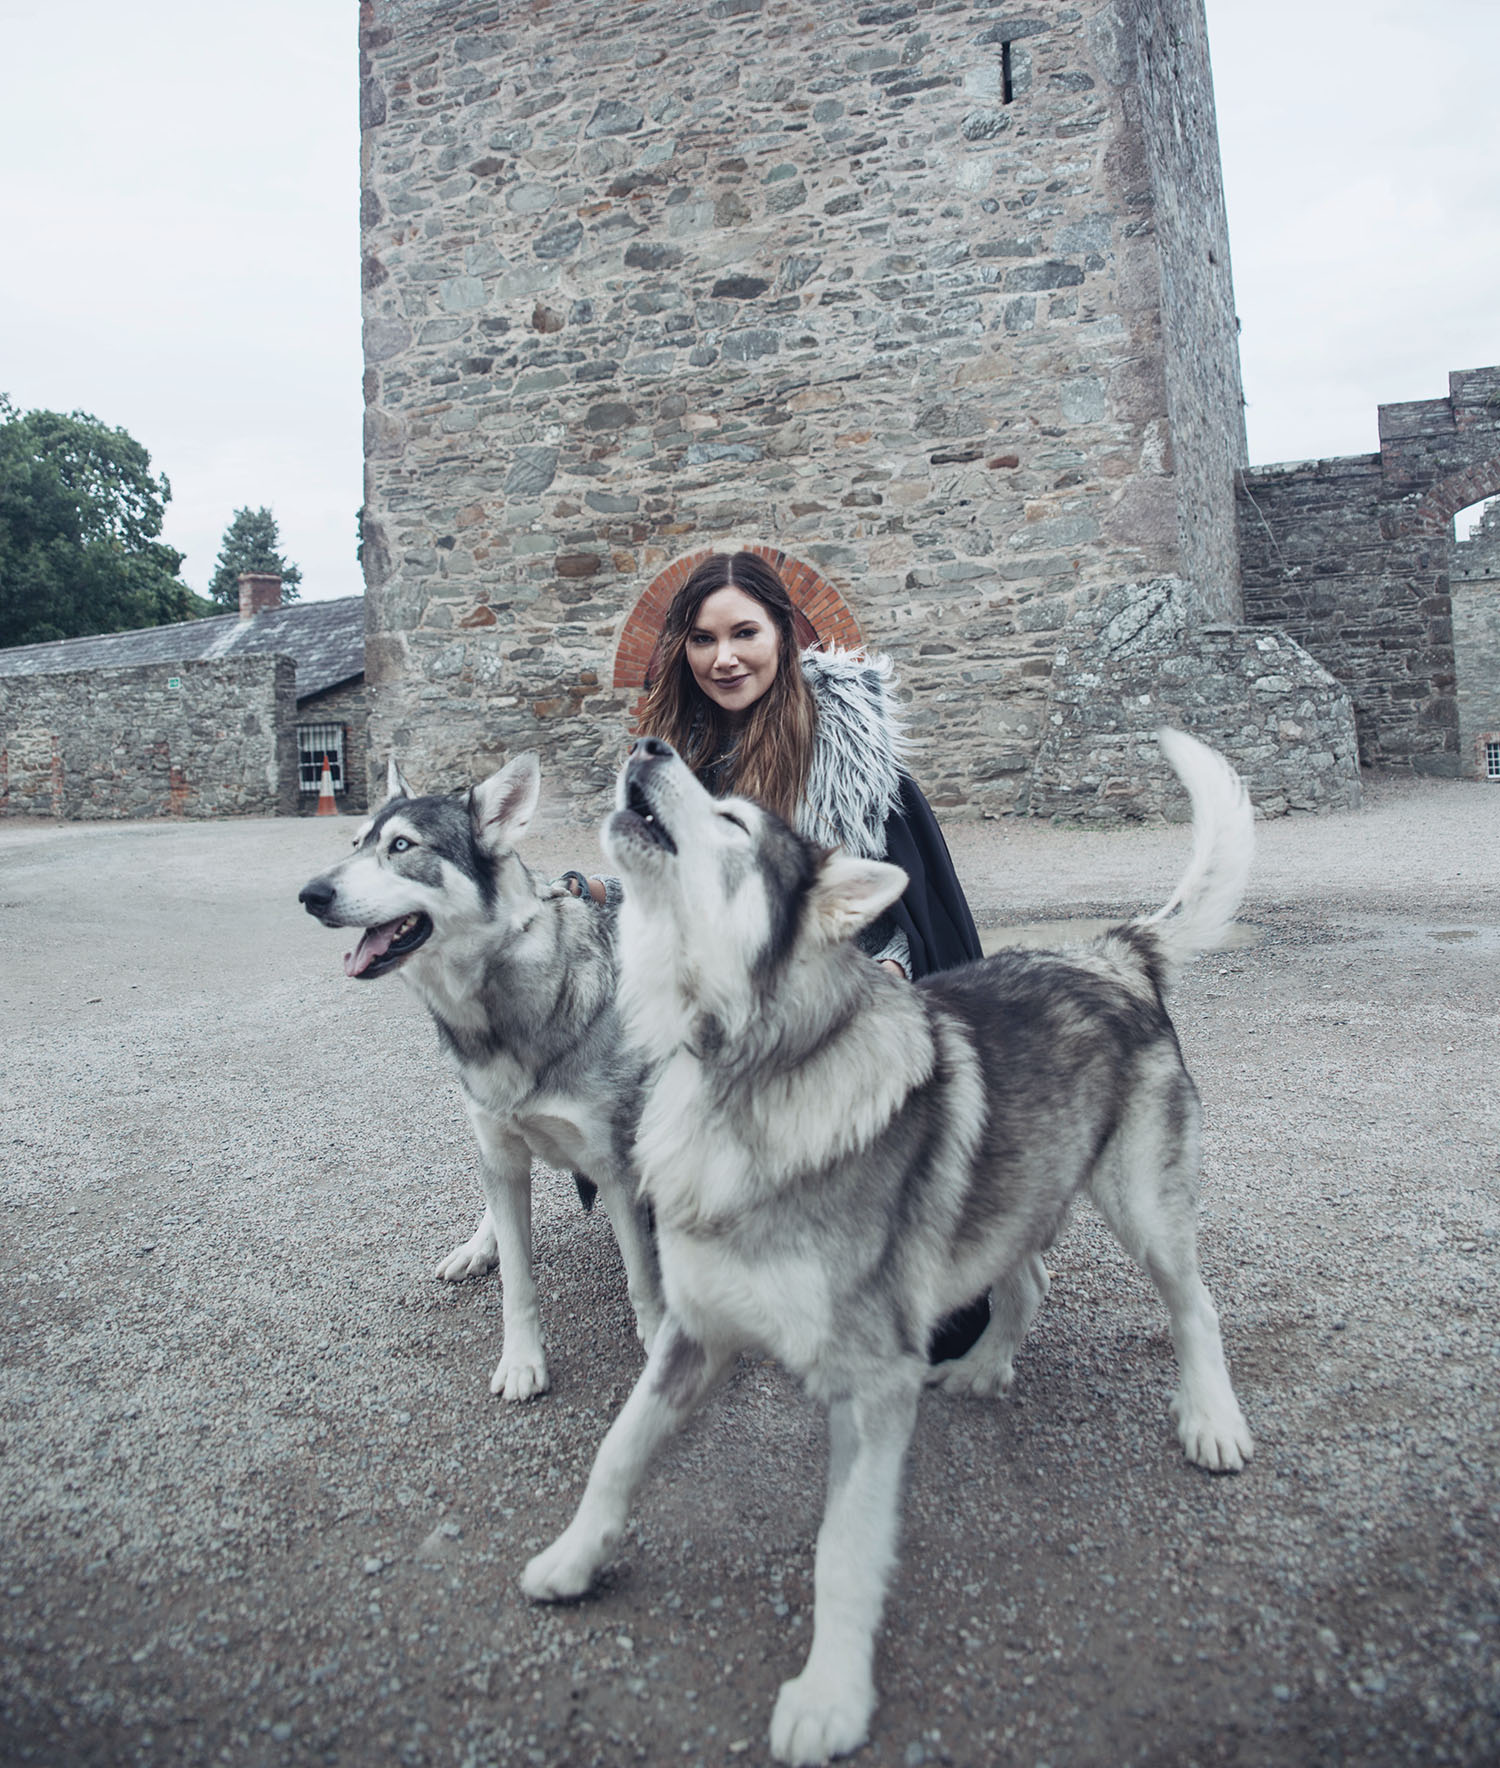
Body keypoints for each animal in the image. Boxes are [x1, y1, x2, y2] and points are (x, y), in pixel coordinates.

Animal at [295, 753, 658, 1400]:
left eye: (402, 846)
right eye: (357, 843)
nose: (310, 894)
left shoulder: (616, 1166)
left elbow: (640, 1277)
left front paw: (658, 1339)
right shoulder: (502, 1148)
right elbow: (518, 1281)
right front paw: (521, 1362)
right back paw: (477, 1245)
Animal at [520, 728, 1259, 1753]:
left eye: (734, 817)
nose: (649, 742)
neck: (737, 1070)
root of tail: (1110, 954)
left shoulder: (871, 1386)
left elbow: (843, 1548)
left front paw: (830, 1697)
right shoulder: (692, 1334)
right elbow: (617, 1452)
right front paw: (572, 1560)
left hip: (1142, 1209)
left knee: (1197, 1308)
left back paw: (1212, 1420)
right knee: (1026, 1284)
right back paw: (986, 1367)